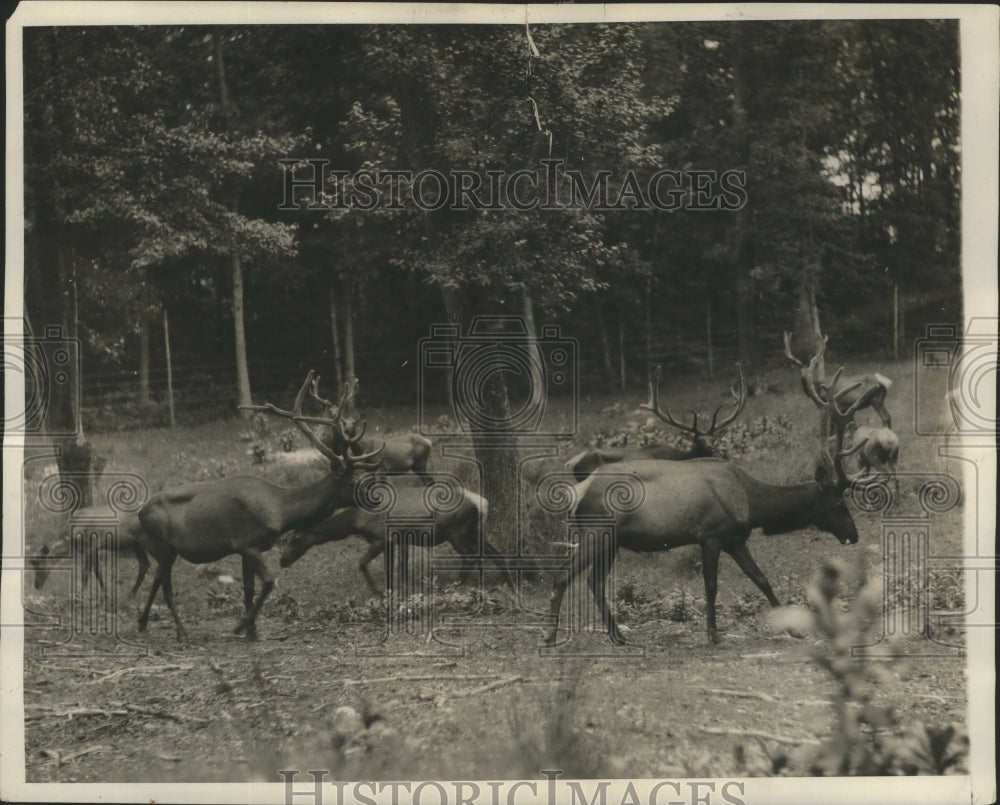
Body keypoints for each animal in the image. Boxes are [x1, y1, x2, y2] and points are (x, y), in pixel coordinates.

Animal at [134, 370, 382, 640]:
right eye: (354, 480)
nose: (378, 498)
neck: (280, 509)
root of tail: (139, 513)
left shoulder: (248, 548)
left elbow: (249, 588)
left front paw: (251, 631)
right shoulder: (246, 542)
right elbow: (269, 582)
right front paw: (241, 626)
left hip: (166, 549)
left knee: (157, 579)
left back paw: (143, 622)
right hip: (162, 545)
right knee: (166, 587)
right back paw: (182, 632)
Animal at [282, 484, 516, 592]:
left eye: (296, 536)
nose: (282, 560)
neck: (357, 521)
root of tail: (482, 503)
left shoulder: (381, 538)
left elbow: (362, 563)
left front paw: (378, 592)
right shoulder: (396, 541)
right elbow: (395, 569)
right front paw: (394, 589)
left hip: (455, 529)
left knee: (470, 556)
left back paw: (453, 586)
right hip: (475, 530)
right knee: (496, 554)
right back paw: (509, 584)